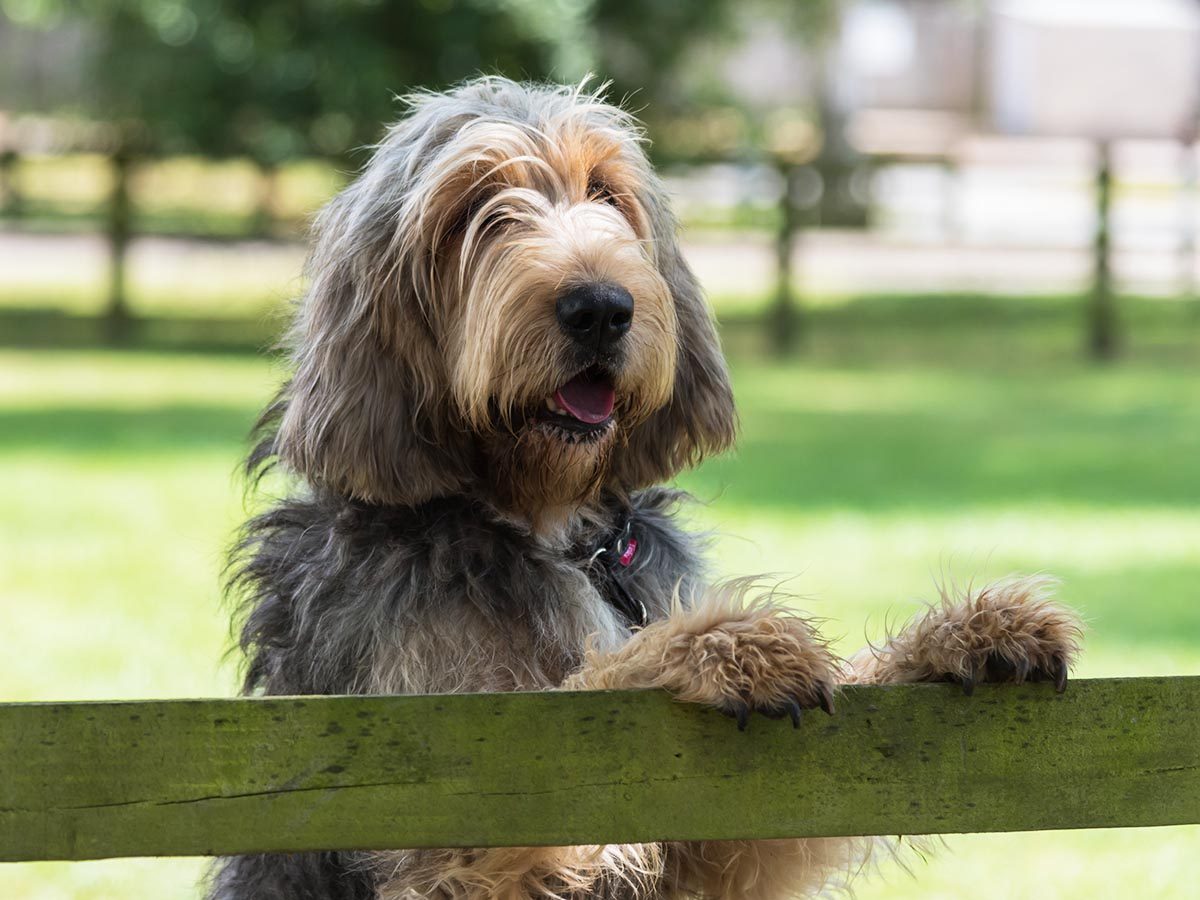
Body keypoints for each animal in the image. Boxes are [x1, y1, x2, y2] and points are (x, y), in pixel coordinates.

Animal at [208, 79, 1089, 900]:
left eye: (606, 191)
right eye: (474, 209)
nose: (601, 306)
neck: (552, 525)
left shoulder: (712, 840)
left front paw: (965, 632)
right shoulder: (445, 799)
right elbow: (589, 687)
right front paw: (721, 646)